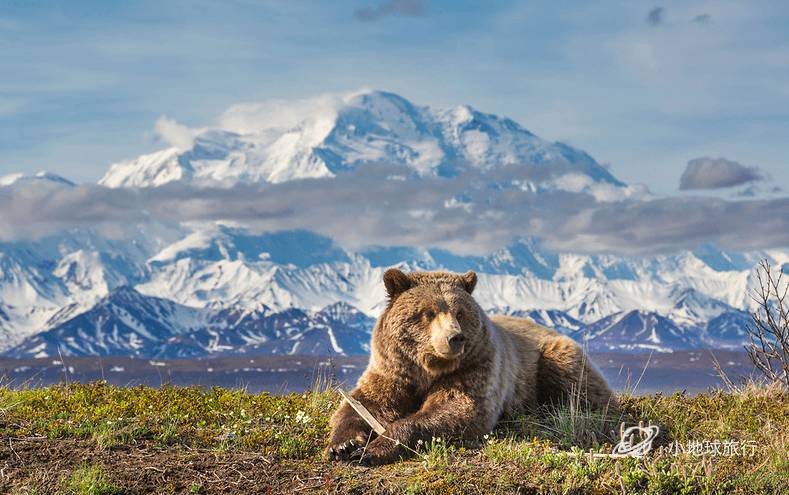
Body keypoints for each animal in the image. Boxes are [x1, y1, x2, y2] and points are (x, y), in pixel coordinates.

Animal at [324, 270, 612, 466]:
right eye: (428, 312)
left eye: (460, 312)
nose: (455, 338)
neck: (428, 368)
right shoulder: (394, 370)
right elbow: (365, 402)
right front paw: (344, 445)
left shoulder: (474, 368)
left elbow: (456, 408)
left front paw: (372, 449)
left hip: (551, 356)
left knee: (576, 385)